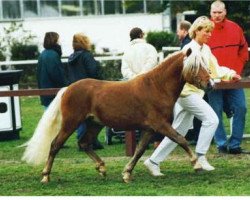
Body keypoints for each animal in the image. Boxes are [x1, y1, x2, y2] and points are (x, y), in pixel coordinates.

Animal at [22, 48, 212, 183]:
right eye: (195, 66)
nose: (209, 84)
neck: (157, 87)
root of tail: (67, 89)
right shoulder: (160, 125)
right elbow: (181, 139)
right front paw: (196, 164)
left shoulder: (149, 129)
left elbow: (139, 150)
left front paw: (127, 173)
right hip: (71, 123)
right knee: (55, 145)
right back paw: (45, 176)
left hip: (94, 124)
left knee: (84, 143)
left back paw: (101, 168)